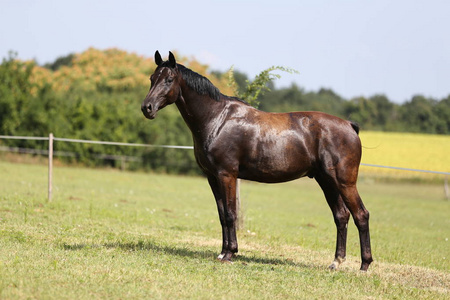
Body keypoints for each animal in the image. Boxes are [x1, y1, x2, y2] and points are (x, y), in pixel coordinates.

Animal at [141, 51, 372, 272]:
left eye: (169, 79)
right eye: (152, 78)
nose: (147, 108)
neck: (217, 119)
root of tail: (349, 125)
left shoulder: (227, 174)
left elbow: (231, 213)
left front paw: (230, 253)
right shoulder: (212, 177)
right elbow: (222, 214)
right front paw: (222, 252)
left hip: (344, 182)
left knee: (361, 215)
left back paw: (364, 265)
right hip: (326, 181)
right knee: (341, 216)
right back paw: (336, 262)